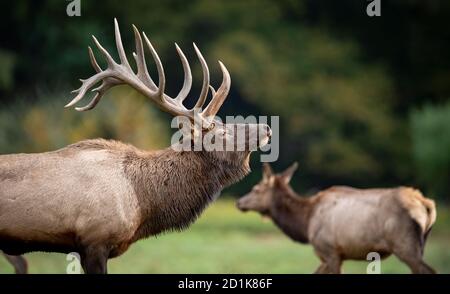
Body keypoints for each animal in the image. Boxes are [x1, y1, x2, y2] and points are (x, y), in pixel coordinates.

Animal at [237, 163, 438, 274]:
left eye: (256, 189)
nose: (239, 202)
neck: (305, 223)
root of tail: (425, 204)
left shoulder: (329, 251)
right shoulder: (333, 256)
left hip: (404, 244)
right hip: (419, 245)